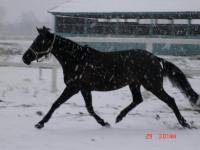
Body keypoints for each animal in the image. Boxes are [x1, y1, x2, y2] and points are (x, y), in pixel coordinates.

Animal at [22, 26, 199, 129]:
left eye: (39, 42)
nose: (25, 58)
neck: (76, 59)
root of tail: (157, 59)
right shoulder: (84, 89)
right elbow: (89, 108)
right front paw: (104, 122)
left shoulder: (73, 87)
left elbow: (56, 103)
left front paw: (40, 123)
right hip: (135, 84)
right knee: (138, 99)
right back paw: (119, 117)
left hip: (153, 86)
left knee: (170, 100)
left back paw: (185, 123)